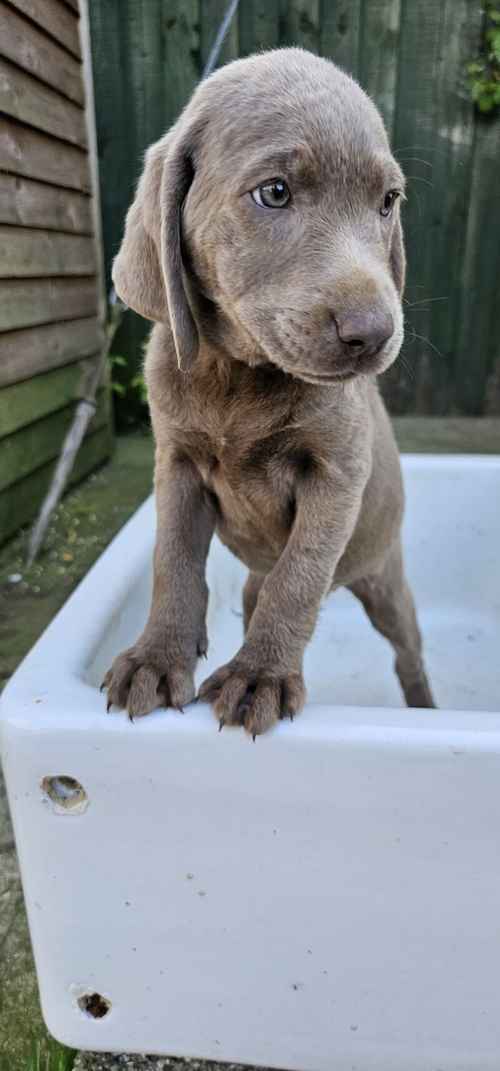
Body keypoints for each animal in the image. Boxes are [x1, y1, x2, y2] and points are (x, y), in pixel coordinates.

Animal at [104, 50, 434, 736]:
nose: (375, 332)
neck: (239, 376)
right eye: (275, 192)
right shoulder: (176, 464)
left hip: (385, 581)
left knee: (404, 652)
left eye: (388, 202)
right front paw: (157, 657)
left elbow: (299, 576)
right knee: (258, 591)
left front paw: (261, 677)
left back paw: (423, 704)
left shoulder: (337, 475)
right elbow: (173, 560)